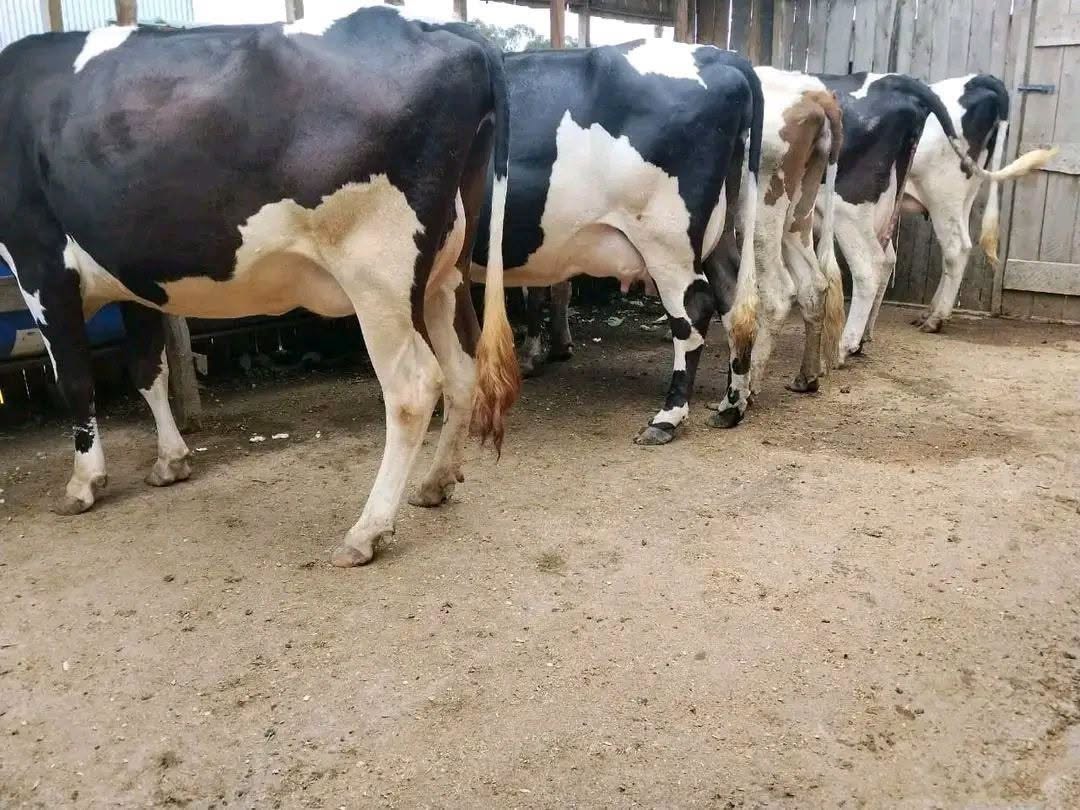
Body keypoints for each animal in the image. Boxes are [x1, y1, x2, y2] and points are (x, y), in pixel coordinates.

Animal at [0, 6, 520, 567]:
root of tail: (445, 29)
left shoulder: (39, 261)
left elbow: (75, 380)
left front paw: (83, 484)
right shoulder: (135, 279)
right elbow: (148, 370)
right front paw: (170, 461)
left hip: (377, 273)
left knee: (414, 386)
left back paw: (367, 530)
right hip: (442, 275)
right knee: (463, 369)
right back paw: (435, 482)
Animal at [471, 39, 764, 443]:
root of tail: (720, 55)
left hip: (666, 239)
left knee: (696, 308)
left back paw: (667, 418)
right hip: (716, 233)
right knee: (734, 300)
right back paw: (732, 404)